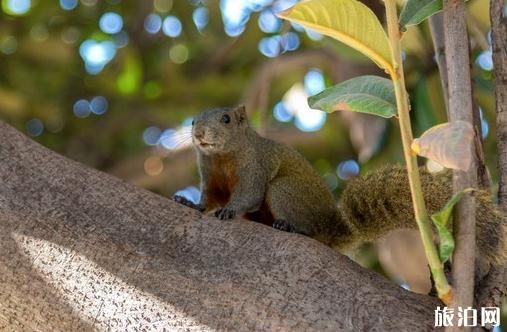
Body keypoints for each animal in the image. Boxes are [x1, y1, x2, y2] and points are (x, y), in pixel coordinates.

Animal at [175, 105, 507, 282]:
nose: (198, 133)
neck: (222, 157)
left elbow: (249, 195)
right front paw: (190, 204)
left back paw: (290, 226)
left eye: (226, 119)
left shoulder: (255, 165)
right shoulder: (210, 177)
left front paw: (229, 210)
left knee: (303, 224)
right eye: (192, 120)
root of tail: (330, 226)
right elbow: (208, 198)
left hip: (285, 191)